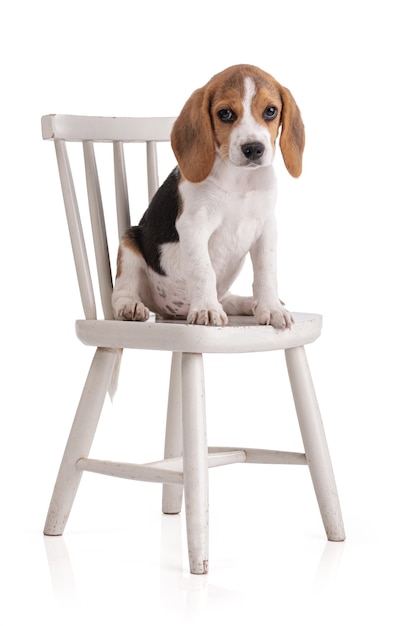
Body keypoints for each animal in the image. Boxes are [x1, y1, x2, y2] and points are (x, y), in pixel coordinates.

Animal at [112, 62, 304, 326]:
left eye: (271, 111)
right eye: (225, 114)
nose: (253, 148)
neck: (239, 179)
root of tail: (170, 313)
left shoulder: (266, 227)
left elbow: (266, 272)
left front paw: (271, 308)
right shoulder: (194, 224)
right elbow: (203, 270)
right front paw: (207, 309)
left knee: (228, 299)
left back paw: (247, 303)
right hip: (129, 242)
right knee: (122, 289)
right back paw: (129, 306)